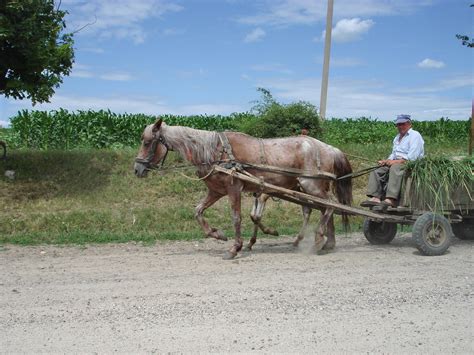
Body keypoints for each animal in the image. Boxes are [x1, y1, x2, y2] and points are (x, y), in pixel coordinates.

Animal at [133, 118, 352, 260]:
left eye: (147, 142)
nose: (137, 169)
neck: (216, 151)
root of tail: (329, 148)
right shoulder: (216, 191)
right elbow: (197, 211)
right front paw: (217, 234)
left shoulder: (234, 188)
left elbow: (236, 217)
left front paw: (235, 248)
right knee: (324, 208)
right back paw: (328, 243)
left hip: (310, 185)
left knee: (330, 205)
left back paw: (318, 239)